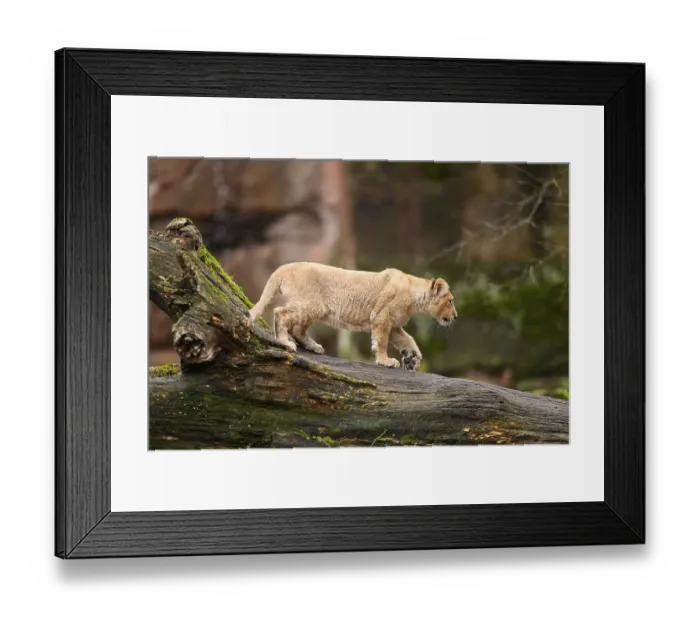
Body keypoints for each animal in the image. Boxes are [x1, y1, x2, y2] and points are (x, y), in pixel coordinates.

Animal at [246, 262, 457, 371]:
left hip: (315, 308)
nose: (455, 317)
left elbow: (408, 339)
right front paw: (385, 361)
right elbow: (381, 341)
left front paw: (413, 359)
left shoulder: (394, 325)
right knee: (280, 313)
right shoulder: (381, 317)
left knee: (298, 329)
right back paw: (284, 342)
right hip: (311, 304)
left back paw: (314, 346)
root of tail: (286, 266)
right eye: (450, 301)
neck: (414, 295)